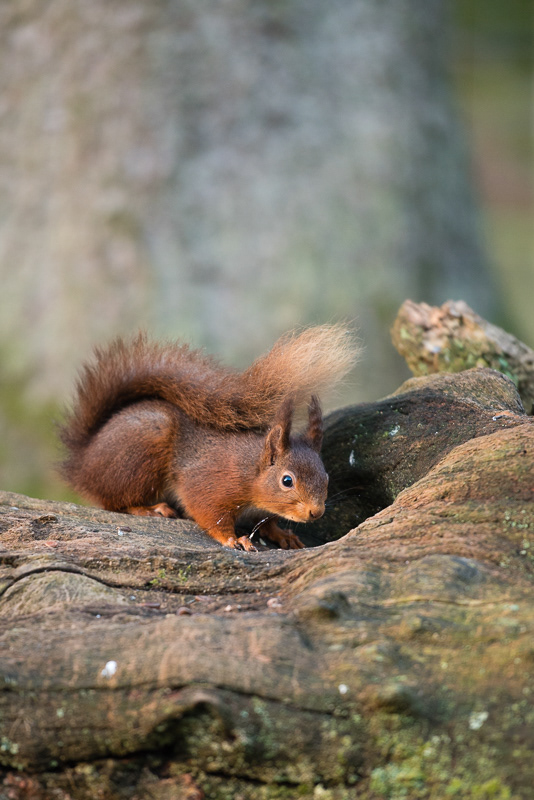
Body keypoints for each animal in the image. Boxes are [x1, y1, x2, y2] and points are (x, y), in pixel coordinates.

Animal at [59, 325, 357, 551]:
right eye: (287, 481)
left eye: (326, 477)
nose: (316, 512)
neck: (251, 471)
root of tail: (82, 461)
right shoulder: (211, 484)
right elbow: (209, 514)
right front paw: (234, 539)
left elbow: (268, 522)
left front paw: (282, 534)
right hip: (140, 455)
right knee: (114, 501)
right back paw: (150, 509)